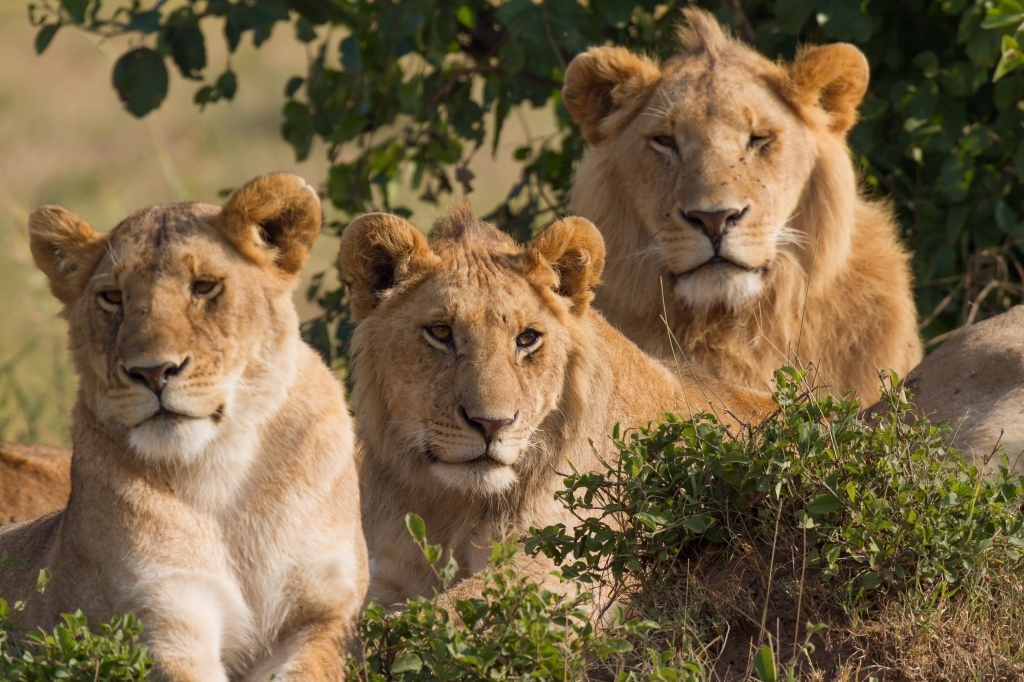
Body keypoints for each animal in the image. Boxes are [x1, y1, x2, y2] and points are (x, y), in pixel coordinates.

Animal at [0, 174, 368, 679]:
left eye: (204, 286)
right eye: (113, 297)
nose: (153, 372)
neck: (224, 475)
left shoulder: (325, 613)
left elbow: (306, 666)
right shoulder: (162, 615)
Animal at [337, 202, 770, 606]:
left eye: (527, 338)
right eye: (441, 332)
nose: (491, 425)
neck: (451, 505)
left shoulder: (571, 564)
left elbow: (445, 612)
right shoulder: (384, 569)